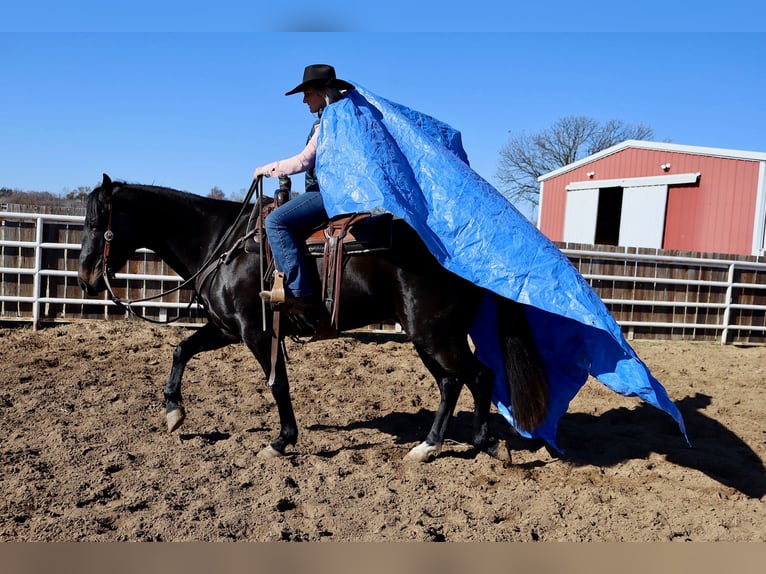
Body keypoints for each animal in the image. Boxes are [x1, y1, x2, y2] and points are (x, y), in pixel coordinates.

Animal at [79, 174, 552, 464]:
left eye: (99, 222)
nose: (85, 277)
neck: (223, 244)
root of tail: (464, 256)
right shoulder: (228, 329)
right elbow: (181, 349)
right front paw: (174, 412)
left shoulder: (256, 333)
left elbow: (277, 384)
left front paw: (281, 441)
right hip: (430, 336)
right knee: (454, 382)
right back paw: (432, 446)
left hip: (435, 335)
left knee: (479, 376)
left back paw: (483, 443)